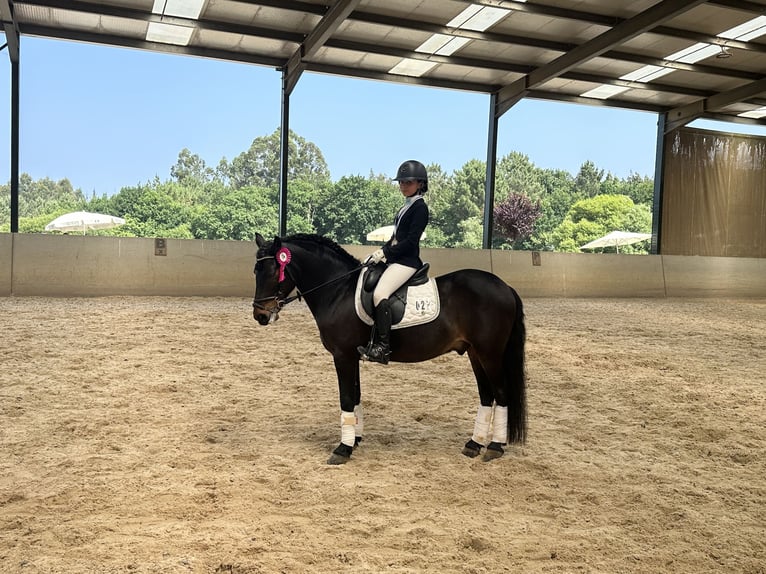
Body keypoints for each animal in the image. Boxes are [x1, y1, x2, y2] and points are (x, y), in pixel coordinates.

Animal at [252, 233, 527, 465]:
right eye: (256, 271)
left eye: (273, 271)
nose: (260, 316)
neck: (338, 291)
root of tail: (505, 287)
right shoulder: (353, 355)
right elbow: (356, 396)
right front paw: (355, 439)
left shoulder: (343, 355)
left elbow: (346, 398)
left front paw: (342, 449)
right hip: (474, 353)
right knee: (486, 395)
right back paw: (473, 444)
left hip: (489, 353)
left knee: (501, 393)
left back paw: (494, 447)